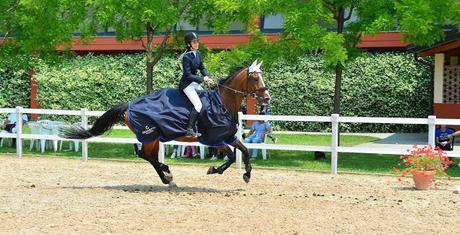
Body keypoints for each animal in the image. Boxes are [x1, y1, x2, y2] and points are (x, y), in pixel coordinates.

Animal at [61, 59, 270, 186]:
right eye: (254, 77)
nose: (267, 98)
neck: (222, 103)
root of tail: (129, 104)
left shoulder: (227, 137)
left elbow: (243, 152)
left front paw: (246, 175)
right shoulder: (215, 139)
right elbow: (232, 156)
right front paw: (214, 170)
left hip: (153, 138)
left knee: (146, 155)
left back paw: (166, 176)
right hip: (150, 136)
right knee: (146, 155)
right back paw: (167, 173)